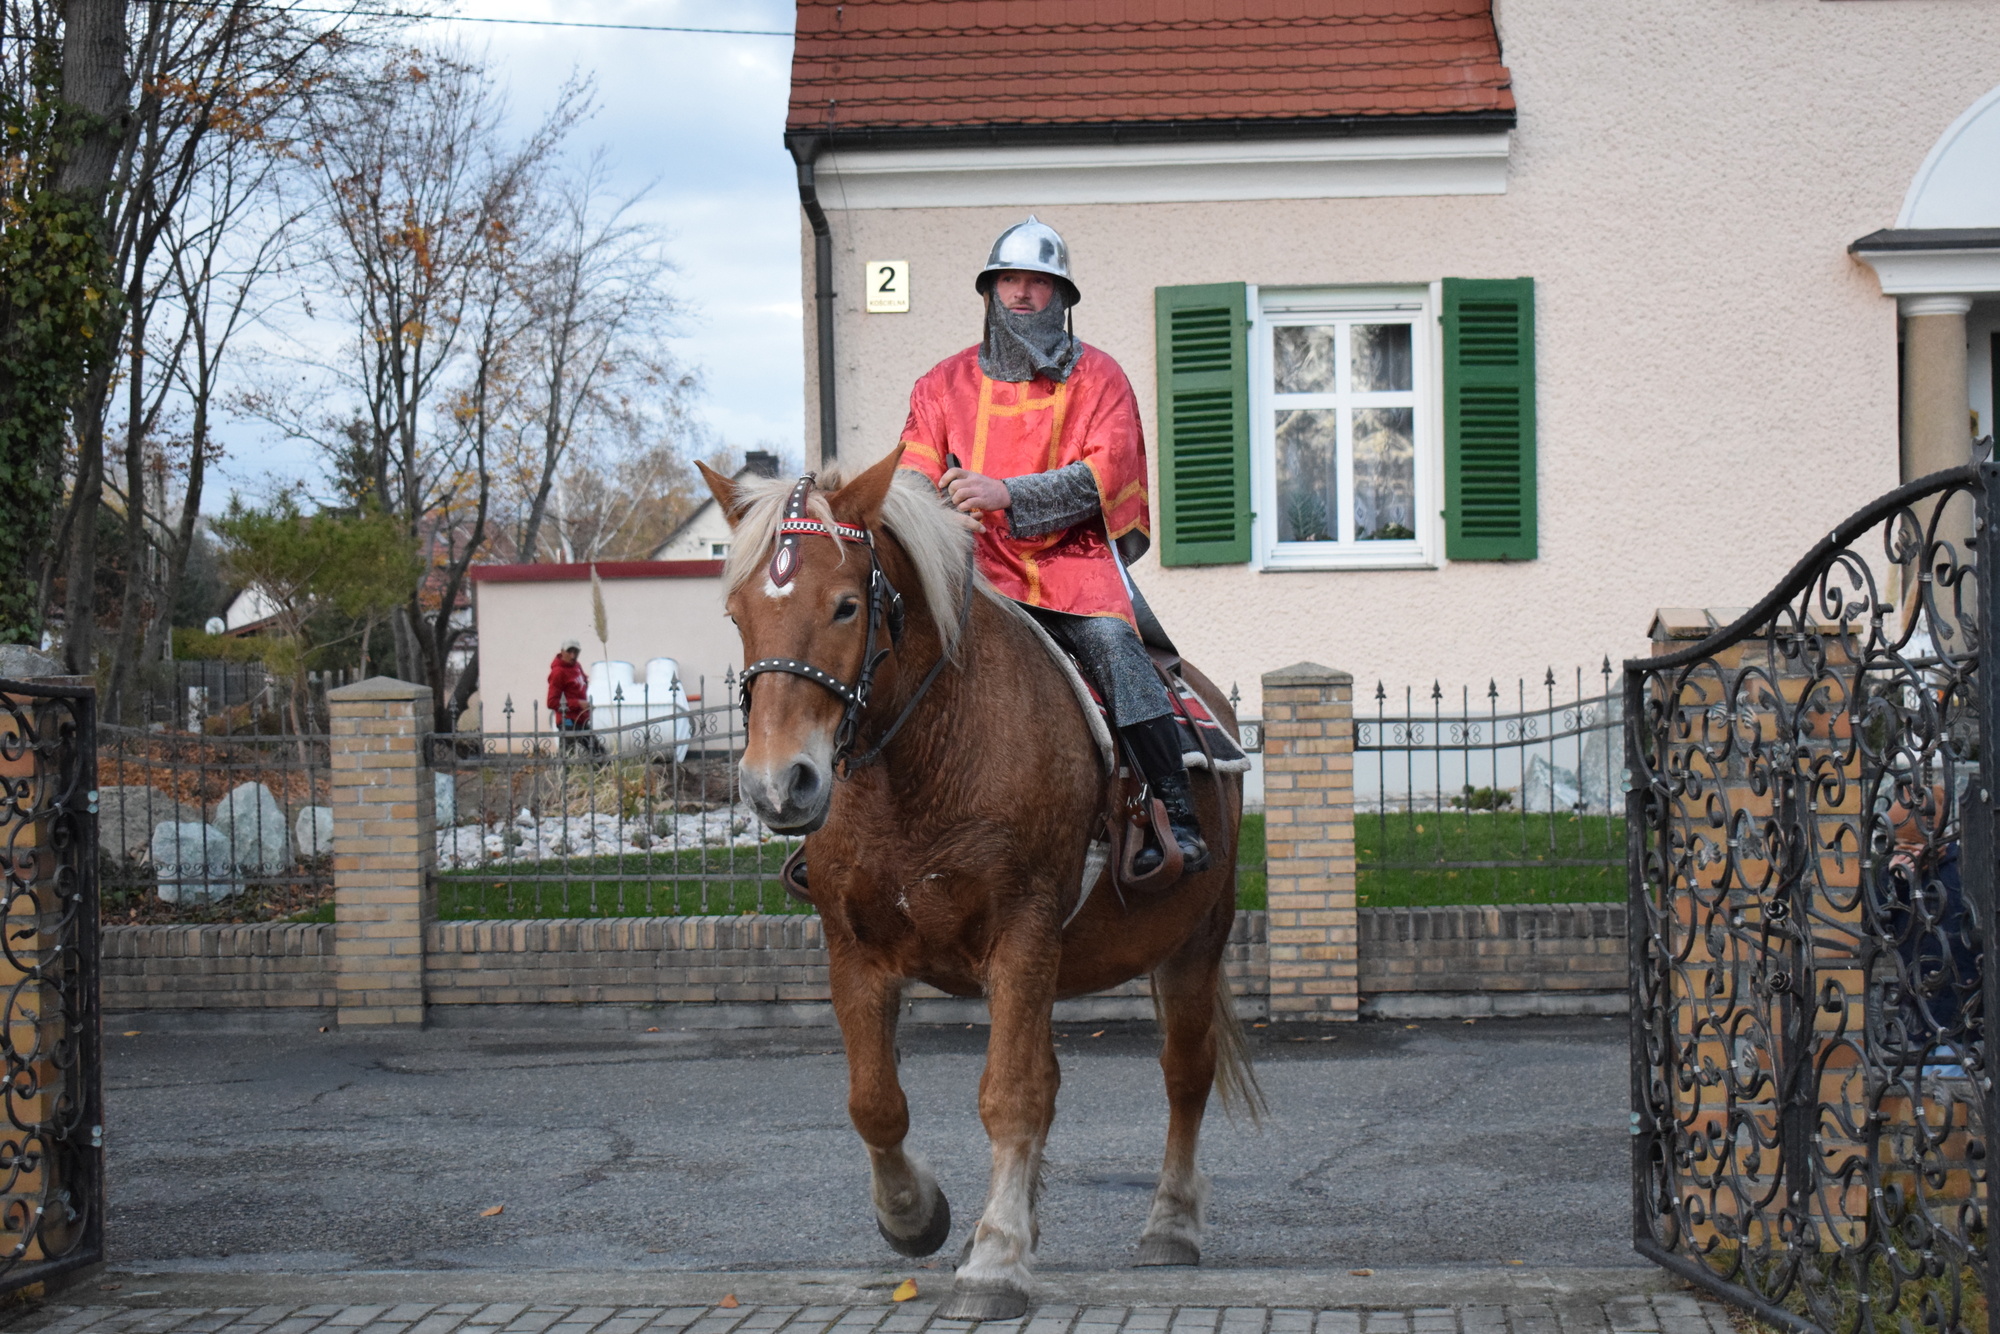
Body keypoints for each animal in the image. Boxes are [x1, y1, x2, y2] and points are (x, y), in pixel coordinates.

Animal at [700, 446, 1248, 1312]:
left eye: (846, 607)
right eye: (738, 614)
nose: (777, 785)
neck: (923, 759)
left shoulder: (1023, 933)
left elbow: (1011, 1094)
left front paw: (994, 1261)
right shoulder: (854, 950)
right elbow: (876, 1102)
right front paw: (916, 1216)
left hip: (1195, 941)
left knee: (1184, 1074)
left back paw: (1170, 1225)